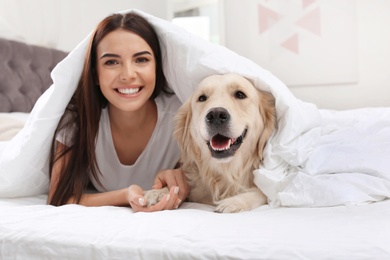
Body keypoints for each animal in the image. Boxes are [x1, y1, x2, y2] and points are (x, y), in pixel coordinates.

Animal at [146, 73, 278, 213]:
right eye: (202, 98)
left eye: (240, 94)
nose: (216, 115)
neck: (225, 172)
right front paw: (158, 192)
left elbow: (263, 192)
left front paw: (234, 202)